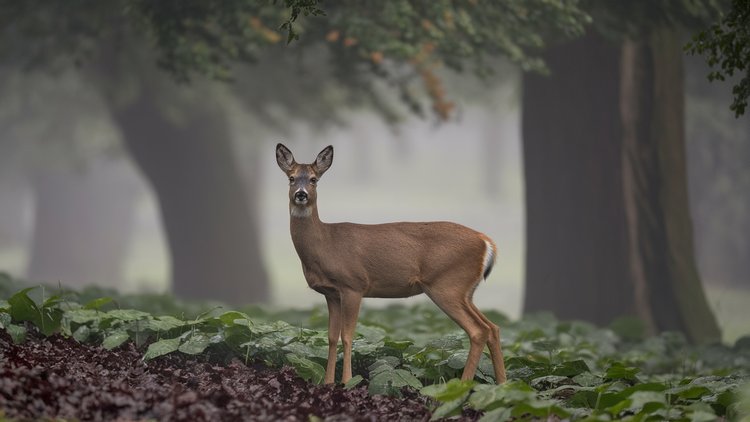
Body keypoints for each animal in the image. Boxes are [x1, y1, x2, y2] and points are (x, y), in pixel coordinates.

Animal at [274, 143, 506, 384]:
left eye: (314, 179)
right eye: (291, 178)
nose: (301, 194)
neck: (326, 244)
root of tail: (487, 242)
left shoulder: (353, 285)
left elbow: (347, 336)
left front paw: (347, 381)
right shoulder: (331, 293)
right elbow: (330, 337)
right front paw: (328, 383)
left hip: (447, 285)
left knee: (478, 331)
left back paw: (463, 385)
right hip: (464, 290)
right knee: (493, 328)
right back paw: (502, 384)